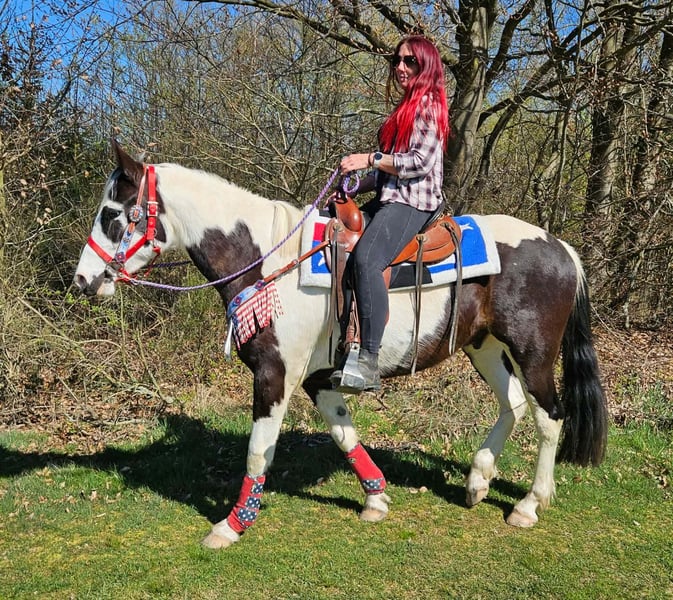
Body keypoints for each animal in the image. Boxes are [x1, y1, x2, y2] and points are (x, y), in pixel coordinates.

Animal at [73, 141, 608, 549]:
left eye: (113, 214)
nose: (82, 280)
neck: (269, 262)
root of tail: (561, 248)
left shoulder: (275, 374)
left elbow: (258, 452)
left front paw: (231, 525)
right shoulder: (318, 379)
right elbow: (343, 434)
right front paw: (376, 498)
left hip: (533, 353)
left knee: (549, 418)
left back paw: (529, 505)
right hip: (484, 347)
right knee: (512, 405)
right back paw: (477, 480)